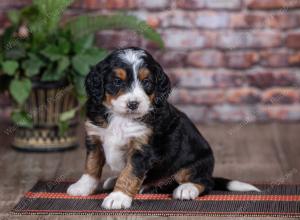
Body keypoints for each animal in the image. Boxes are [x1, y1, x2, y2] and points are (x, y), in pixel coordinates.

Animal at [67, 47, 258, 209]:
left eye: (147, 82)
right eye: (117, 81)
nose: (133, 104)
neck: (121, 118)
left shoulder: (142, 148)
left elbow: (129, 173)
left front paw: (118, 197)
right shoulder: (95, 138)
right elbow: (91, 165)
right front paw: (83, 187)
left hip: (195, 163)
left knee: (205, 182)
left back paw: (186, 189)